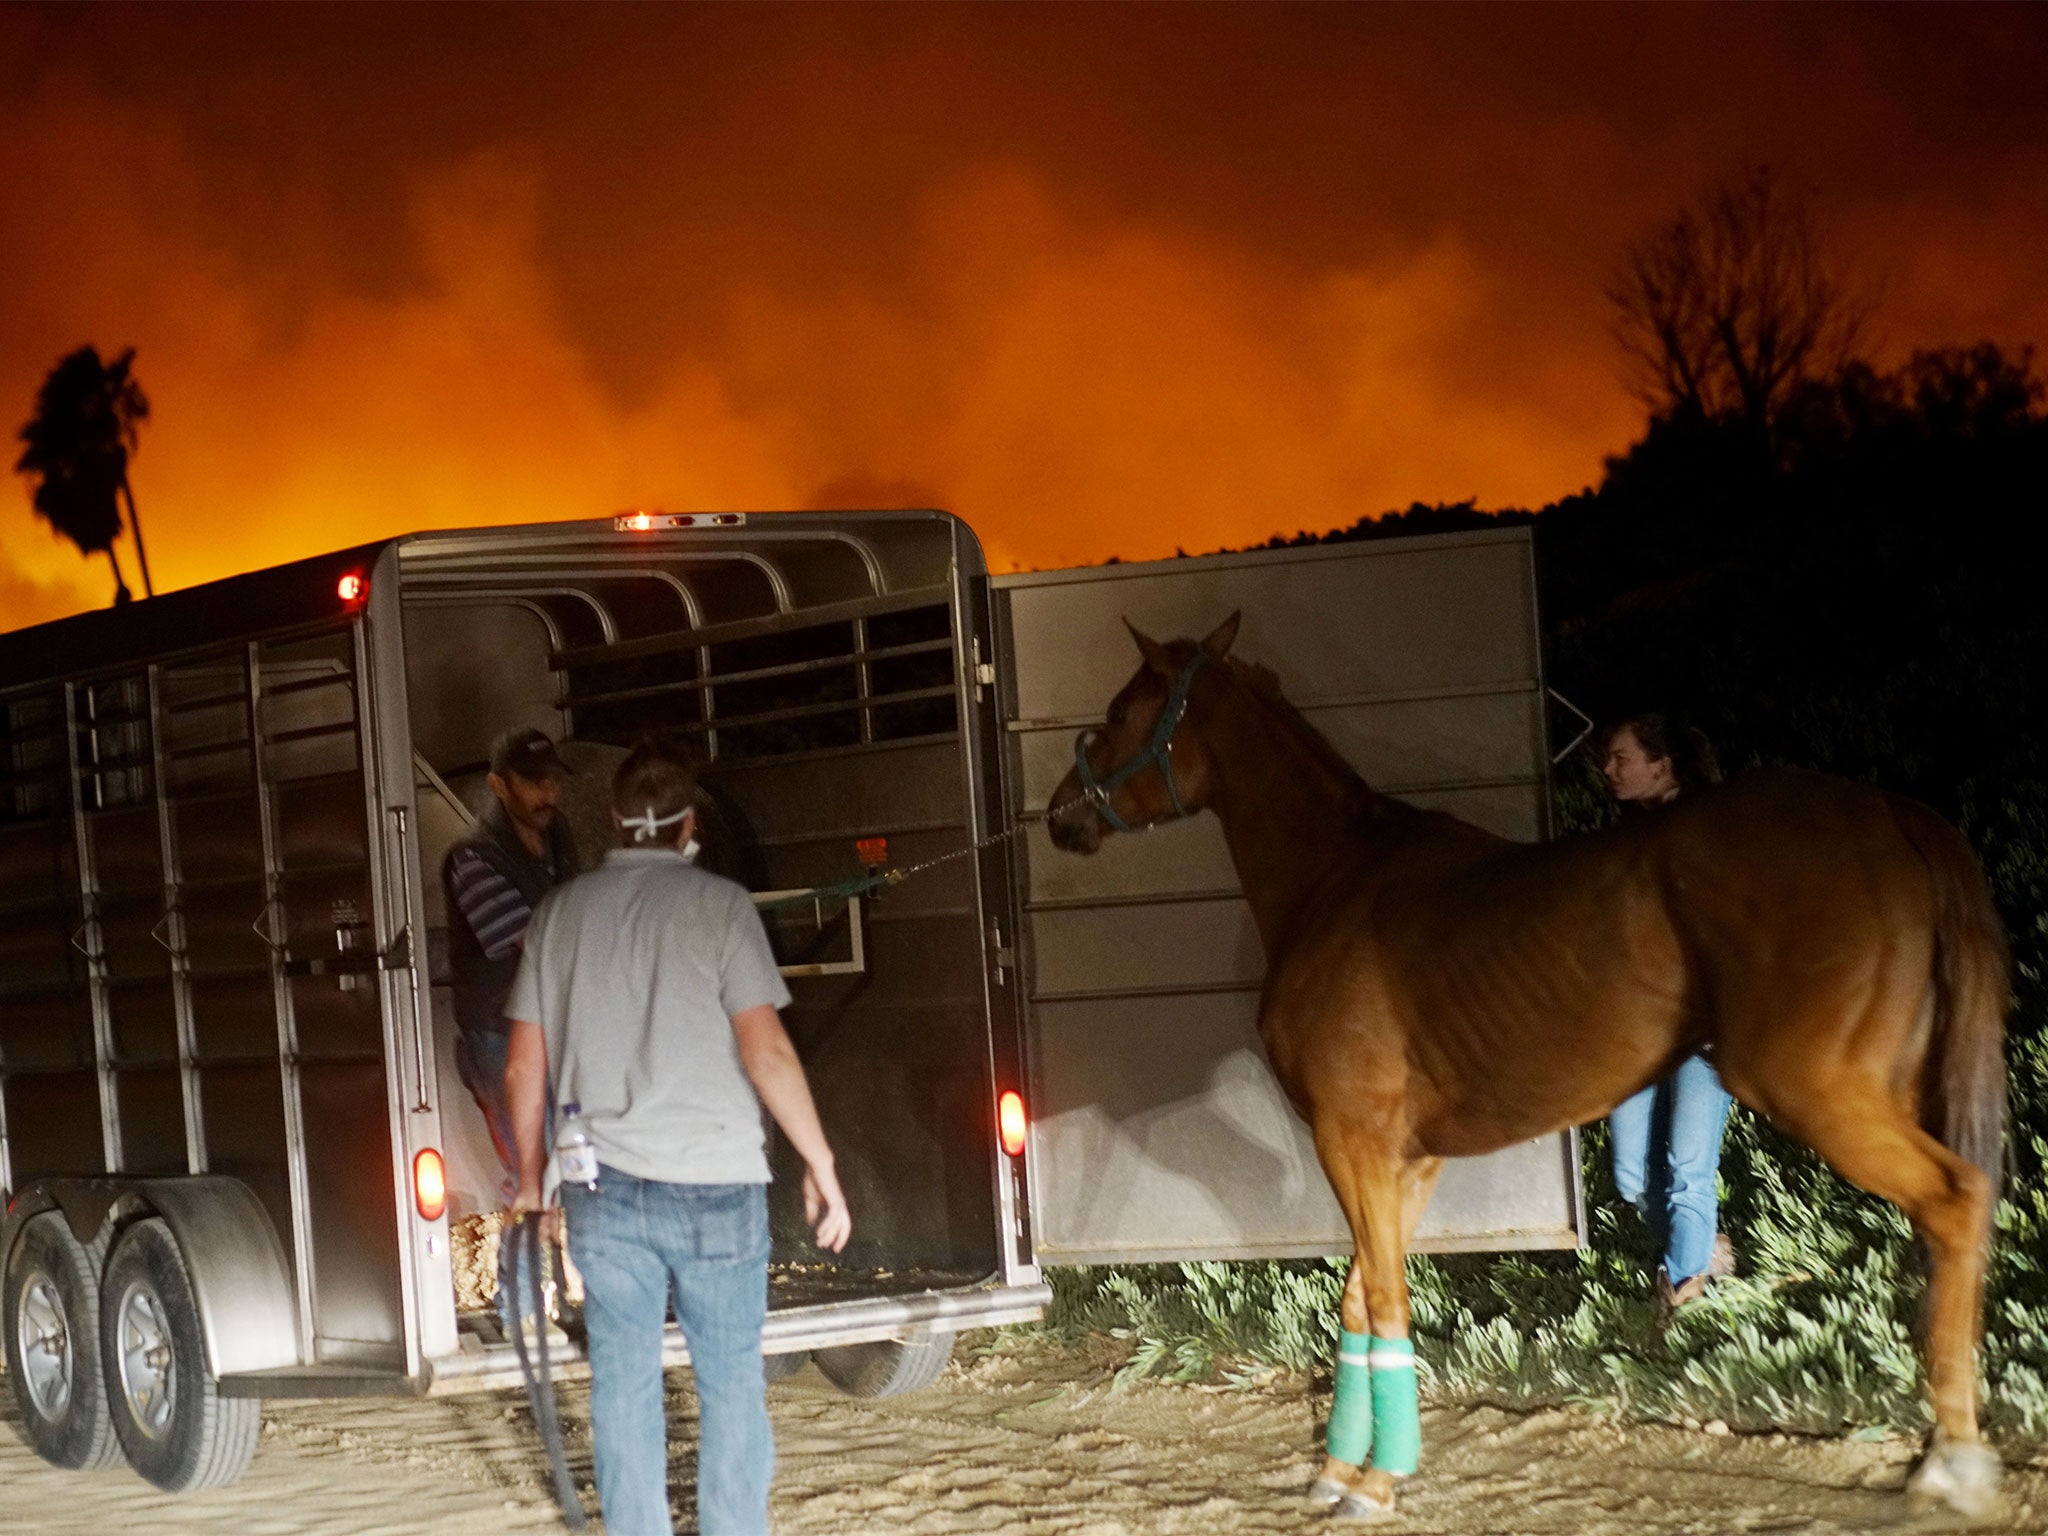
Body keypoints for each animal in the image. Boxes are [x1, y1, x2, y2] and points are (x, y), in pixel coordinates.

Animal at [1048, 618, 2007, 1531]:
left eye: (1123, 709)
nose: (1060, 813)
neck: (1339, 877)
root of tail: (1893, 815)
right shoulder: (1406, 1161)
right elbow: (1361, 1303)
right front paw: (1338, 1472)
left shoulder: (1352, 1141)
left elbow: (1384, 1302)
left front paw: (1377, 1484)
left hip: (1822, 1093)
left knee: (1958, 1200)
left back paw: (1955, 1461)